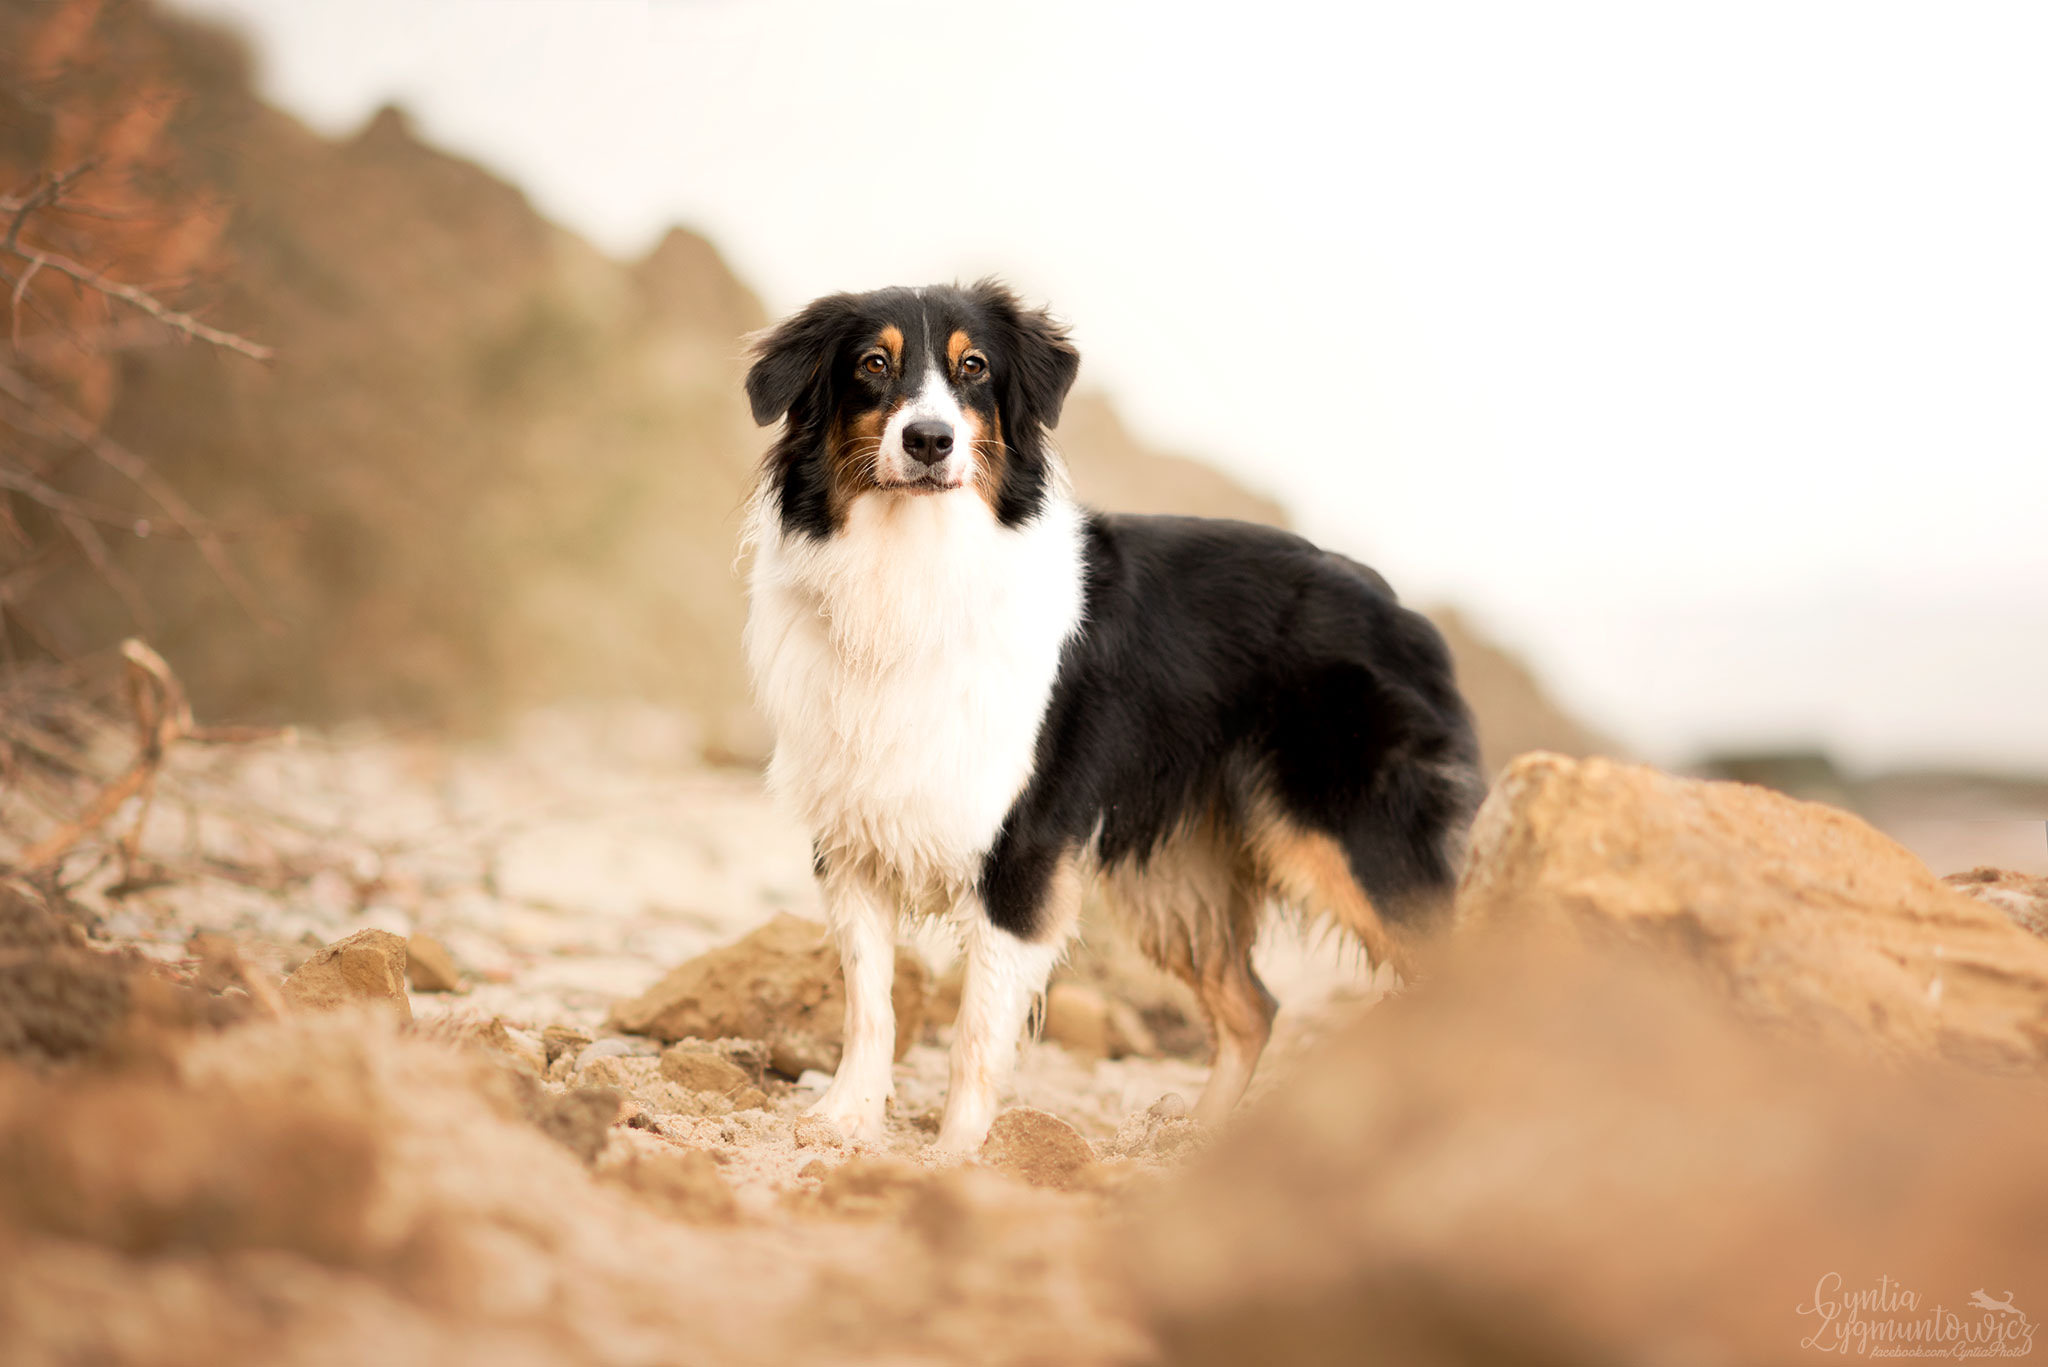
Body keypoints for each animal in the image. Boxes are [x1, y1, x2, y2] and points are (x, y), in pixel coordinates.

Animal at [745, 280, 1482, 1155]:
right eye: (872, 364)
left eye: (974, 367)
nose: (929, 440)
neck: (916, 565)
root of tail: (1405, 612)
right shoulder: (852, 828)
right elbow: (869, 999)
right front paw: (846, 1120)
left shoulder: (1024, 849)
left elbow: (975, 1027)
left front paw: (956, 1154)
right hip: (1179, 876)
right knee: (1252, 1006)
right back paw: (1198, 1142)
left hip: (1356, 841)